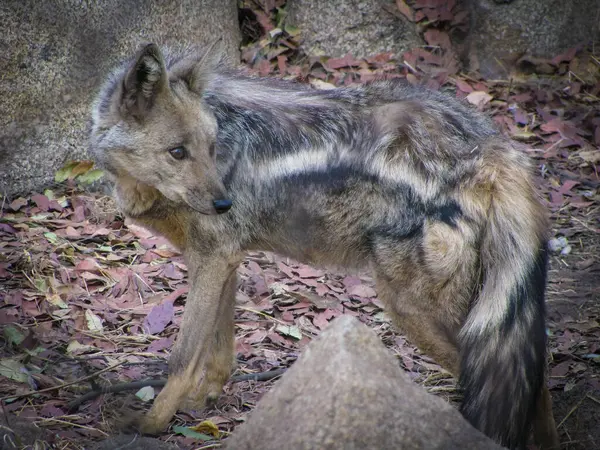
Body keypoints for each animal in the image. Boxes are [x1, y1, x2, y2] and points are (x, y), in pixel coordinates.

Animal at [91, 43, 560, 450]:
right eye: (178, 152)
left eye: (209, 148)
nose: (224, 204)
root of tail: (495, 147)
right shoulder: (223, 259)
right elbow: (219, 352)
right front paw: (203, 401)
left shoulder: (212, 259)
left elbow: (182, 358)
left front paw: (150, 424)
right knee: (535, 378)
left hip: (420, 313)